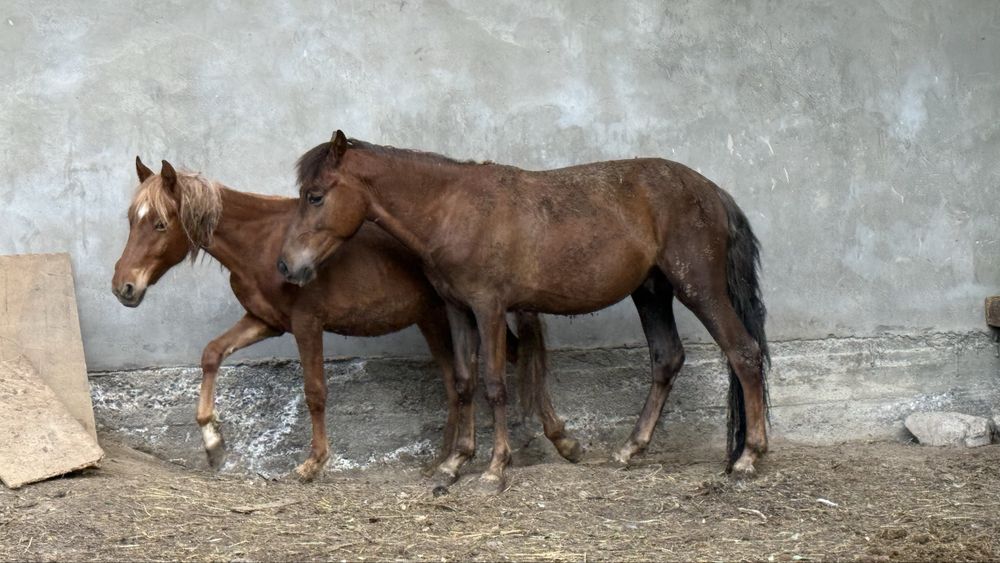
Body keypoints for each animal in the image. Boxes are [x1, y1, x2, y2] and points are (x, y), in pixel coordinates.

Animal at [111, 157, 582, 481]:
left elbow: (315, 392)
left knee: (516, 364)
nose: (123, 288)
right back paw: (444, 461)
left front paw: (313, 463)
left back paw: (560, 439)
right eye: (131, 220)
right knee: (458, 384)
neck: (263, 243)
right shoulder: (264, 321)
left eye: (159, 223)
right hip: (436, 321)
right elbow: (211, 354)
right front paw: (213, 444)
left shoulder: (306, 324)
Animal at [278, 131, 769, 492]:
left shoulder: (489, 308)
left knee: (742, 352)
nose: (286, 266)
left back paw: (749, 456)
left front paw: (495, 468)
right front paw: (454, 464)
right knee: (667, 359)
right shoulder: (459, 311)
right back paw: (631, 449)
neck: (453, 210)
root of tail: (712, 191)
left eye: (315, 196)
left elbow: (495, 385)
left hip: (698, 288)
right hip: (651, 291)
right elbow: (464, 382)